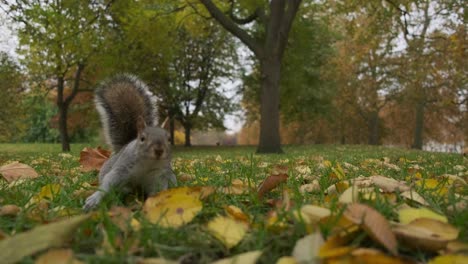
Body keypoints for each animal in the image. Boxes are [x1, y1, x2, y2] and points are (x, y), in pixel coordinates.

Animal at [83, 73, 176, 210]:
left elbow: (158, 191)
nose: (159, 150)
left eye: (169, 139)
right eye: (142, 138)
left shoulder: (159, 176)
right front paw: (94, 199)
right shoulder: (121, 168)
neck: (147, 163)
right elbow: (108, 182)